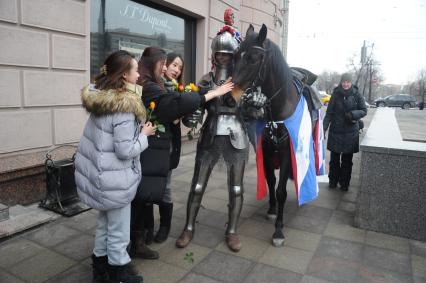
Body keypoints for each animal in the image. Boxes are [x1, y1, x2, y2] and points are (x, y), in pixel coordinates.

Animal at [233, 23, 306, 246]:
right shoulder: (265, 151)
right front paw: (273, 210)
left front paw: (279, 231)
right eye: (236, 55)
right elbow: (271, 182)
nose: (232, 94)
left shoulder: (286, 155)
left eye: (253, 58)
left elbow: (281, 190)